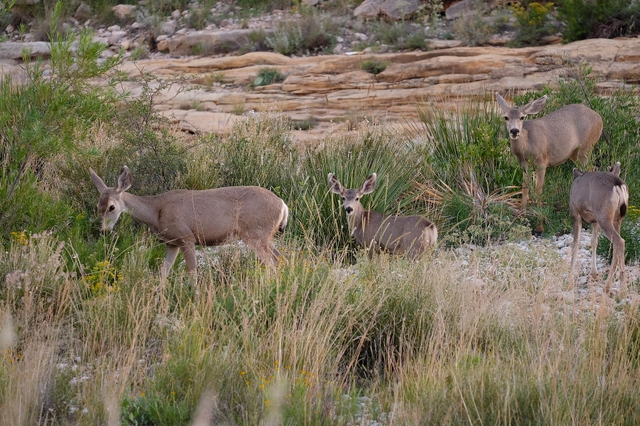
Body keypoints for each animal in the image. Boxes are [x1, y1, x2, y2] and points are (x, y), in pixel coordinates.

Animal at [90, 165, 290, 282]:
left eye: (111, 207)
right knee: (282, 259)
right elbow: (163, 273)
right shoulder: (172, 243)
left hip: (255, 235)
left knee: (272, 264)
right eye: (97, 207)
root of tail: (283, 204)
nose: (104, 231)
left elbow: (192, 273)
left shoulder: (187, 238)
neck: (156, 211)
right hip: (265, 237)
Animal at [568, 161, 628, 292]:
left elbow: (576, 243)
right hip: (616, 219)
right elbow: (594, 241)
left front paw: (570, 278)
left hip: (603, 216)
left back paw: (622, 289)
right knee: (616, 244)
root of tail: (618, 184)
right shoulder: (594, 221)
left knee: (619, 241)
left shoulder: (576, 214)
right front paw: (594, 274)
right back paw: (608, 285)